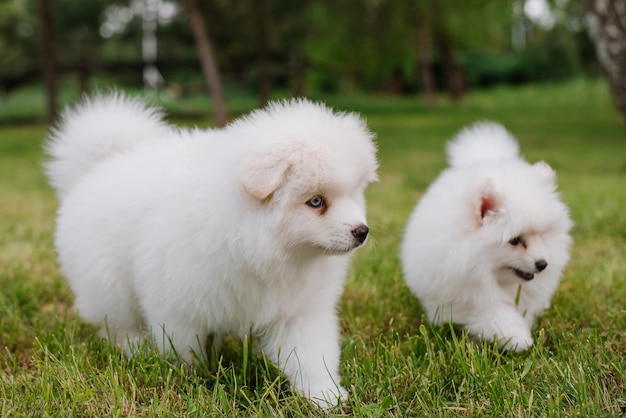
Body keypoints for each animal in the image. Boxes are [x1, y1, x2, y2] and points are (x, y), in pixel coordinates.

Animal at [45, 94, 376, 404]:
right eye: (316, 201)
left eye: (352, 193)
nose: (362, 232)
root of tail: (100, 164)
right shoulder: (177, 303)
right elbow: (184, 348)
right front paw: (192, 380)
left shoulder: (297, 309)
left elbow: (310, 355)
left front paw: (325, 396)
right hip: (108, 284)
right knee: (119, 324)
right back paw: (137, 349)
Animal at [400, 122, 572, 352]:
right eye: (515, 241)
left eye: (541, 235)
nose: (543, 264)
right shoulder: (464, 297)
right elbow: (491, 314)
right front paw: (517, 336)